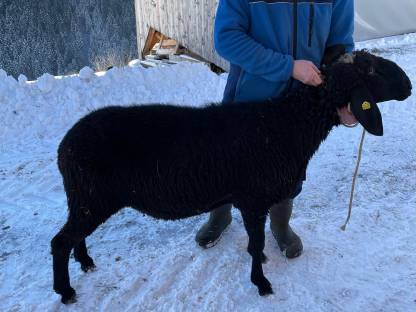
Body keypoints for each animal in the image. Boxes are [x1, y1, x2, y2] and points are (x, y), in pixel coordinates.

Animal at [50, 50, 412, 302]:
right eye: (370, 69)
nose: (409, 84)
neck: (288, 123)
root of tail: (65, 145)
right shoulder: (253, 199)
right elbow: (256, 241)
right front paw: (262, 283)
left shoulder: (253, 201)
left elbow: (257, 240)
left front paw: (261, 263)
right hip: (92, 197)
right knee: (59, 242)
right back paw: (66, 292)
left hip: (84, 199)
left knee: (74, 236)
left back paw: (86, 262)